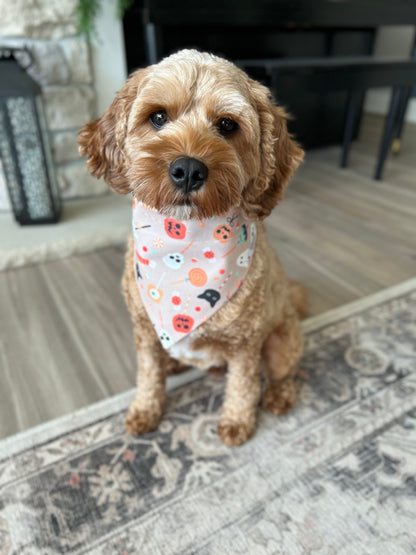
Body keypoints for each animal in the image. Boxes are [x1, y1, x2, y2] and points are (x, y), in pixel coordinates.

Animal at [79, 47, 306, 448]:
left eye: (228, 125)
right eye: (157, 117)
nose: (188, 169)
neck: (186, 247)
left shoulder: (245, 344)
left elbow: (243, 385)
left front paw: (237, 422)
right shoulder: (143, 331)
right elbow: (148, 375)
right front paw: (145, 410)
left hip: (281, 341)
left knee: (283, 372)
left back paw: (279, 396)